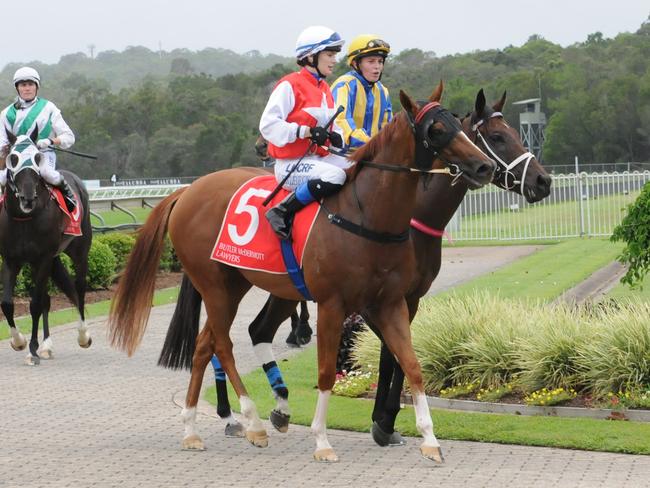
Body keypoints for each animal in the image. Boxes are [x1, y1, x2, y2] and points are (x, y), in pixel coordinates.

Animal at [0, 131, 92, 366]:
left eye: (37, 158)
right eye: (13, 159)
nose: (28, 198)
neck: (24, 218)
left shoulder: (43, 258)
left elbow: (34, 304)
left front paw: (32, 349)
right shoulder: (12, 259)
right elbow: (7, 303)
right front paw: (19, 342)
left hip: (79, 252)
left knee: (79, 290)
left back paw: (83, 335)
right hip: (47, 261)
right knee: (48, 300)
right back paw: (47, 346)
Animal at [109, 86, 494, 464]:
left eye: (457, 122)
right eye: (437, 129)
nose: (484, 165)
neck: (366, 215)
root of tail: (188, 190)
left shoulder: (391, 302)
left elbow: (411, 364)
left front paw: (428, 439)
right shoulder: (332, 305)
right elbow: (326, 372)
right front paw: (322, 440)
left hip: (237, 284)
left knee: (206, 344)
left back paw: (192, 429)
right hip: (215, 285)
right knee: (223, 345)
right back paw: (252, 422)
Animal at [199, 87, 552, 438]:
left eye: (516, 133)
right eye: (497, 137)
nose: (543, 180)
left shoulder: (405, 298)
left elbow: (394, 353)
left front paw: (384, 417)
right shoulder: (375, 301)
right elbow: (390, 354)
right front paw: (385, 419)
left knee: (241, 333)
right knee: (214, 339)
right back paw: (230, 414)